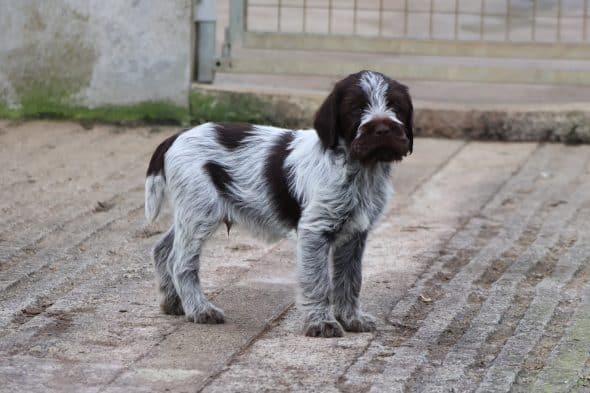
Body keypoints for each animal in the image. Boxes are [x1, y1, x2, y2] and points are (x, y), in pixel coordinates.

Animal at [147, 70, 416, 336]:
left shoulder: (355, 234)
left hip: (192, 212)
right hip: (200, 213)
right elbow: (318, 281)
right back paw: (199, 309)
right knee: (180, 262)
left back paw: (173, 302)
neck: (360, 168)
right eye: (356, 108)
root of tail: (176, 136)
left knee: (162, 250)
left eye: (395, 106)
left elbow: (350, 279)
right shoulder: (315, 230)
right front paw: (321, 323)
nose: (382, 129)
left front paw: (351, 318)